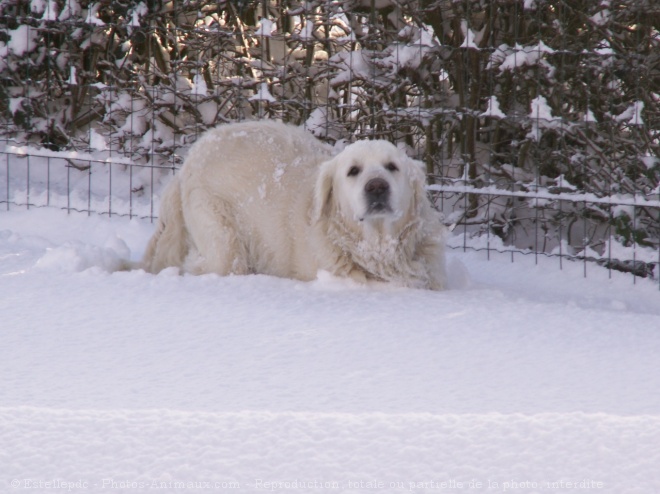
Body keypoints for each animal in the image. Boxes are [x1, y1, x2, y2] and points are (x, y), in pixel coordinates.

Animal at [142, 119, 446, 290]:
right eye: (353, 171)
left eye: (392, 167)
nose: (377, 187)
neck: (377, 247)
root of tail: (186, 164)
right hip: (223, 238)